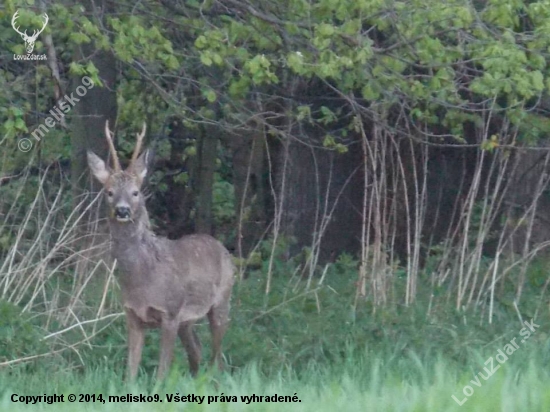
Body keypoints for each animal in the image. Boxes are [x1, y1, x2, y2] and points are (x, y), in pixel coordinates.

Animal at [88, 121, 235, 380]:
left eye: (135, 191)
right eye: (109, 191)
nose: (123, 210)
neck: (143, 277)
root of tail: (222, 248)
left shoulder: (171, 312)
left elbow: (162, 371)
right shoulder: (133, 315)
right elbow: (130, 372)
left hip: (222, 301)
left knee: (217, 358)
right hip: (188, 320)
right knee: (197, 351)